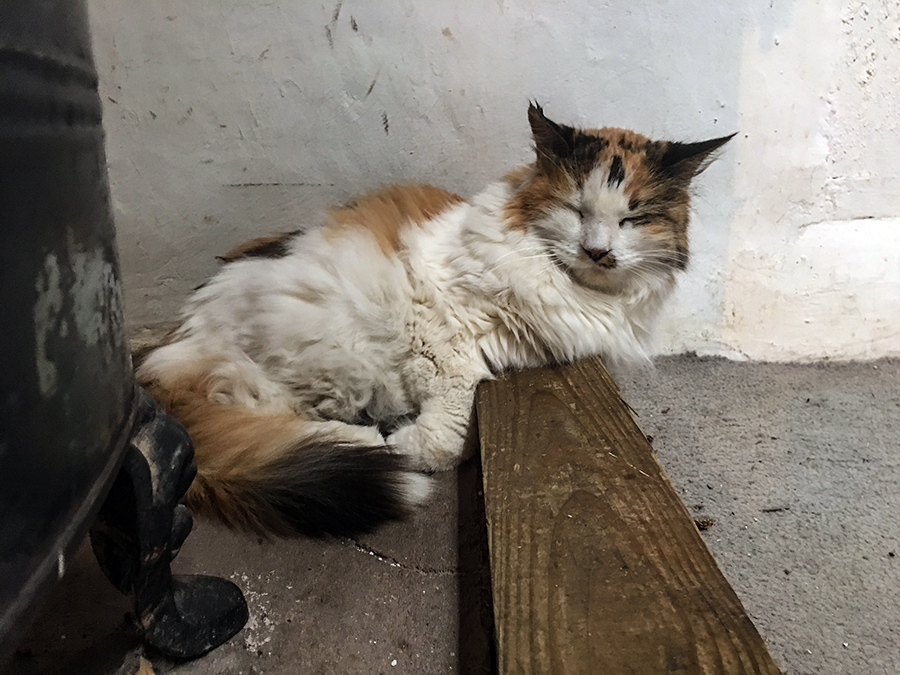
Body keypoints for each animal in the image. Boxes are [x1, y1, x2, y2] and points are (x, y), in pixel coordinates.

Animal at [137, 103, 736, 540]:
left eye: (634, 218)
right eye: (576, 211)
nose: (598, 252)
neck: (571, 287)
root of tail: (163, 353)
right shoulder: (435, 319)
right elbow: (454, 401)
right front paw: (416, 444)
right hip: (319, 352)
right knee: (266, 409)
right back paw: (366, 444)